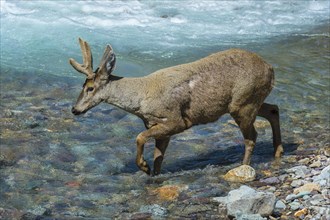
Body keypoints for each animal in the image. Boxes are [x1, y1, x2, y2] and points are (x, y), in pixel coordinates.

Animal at [69, 37, 284, 175]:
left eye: (89, 88)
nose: (74, 109)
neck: (141, 97)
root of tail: (270, 69)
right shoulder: (157, 126)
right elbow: (158, 159)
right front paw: (151, 175)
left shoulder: (176, 120)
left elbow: (140, 137)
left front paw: (143, 166)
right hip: (249, 101)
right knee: (273, 109)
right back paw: (278, 151)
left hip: (243, 102)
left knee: (252, 137)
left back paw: (243, 167)